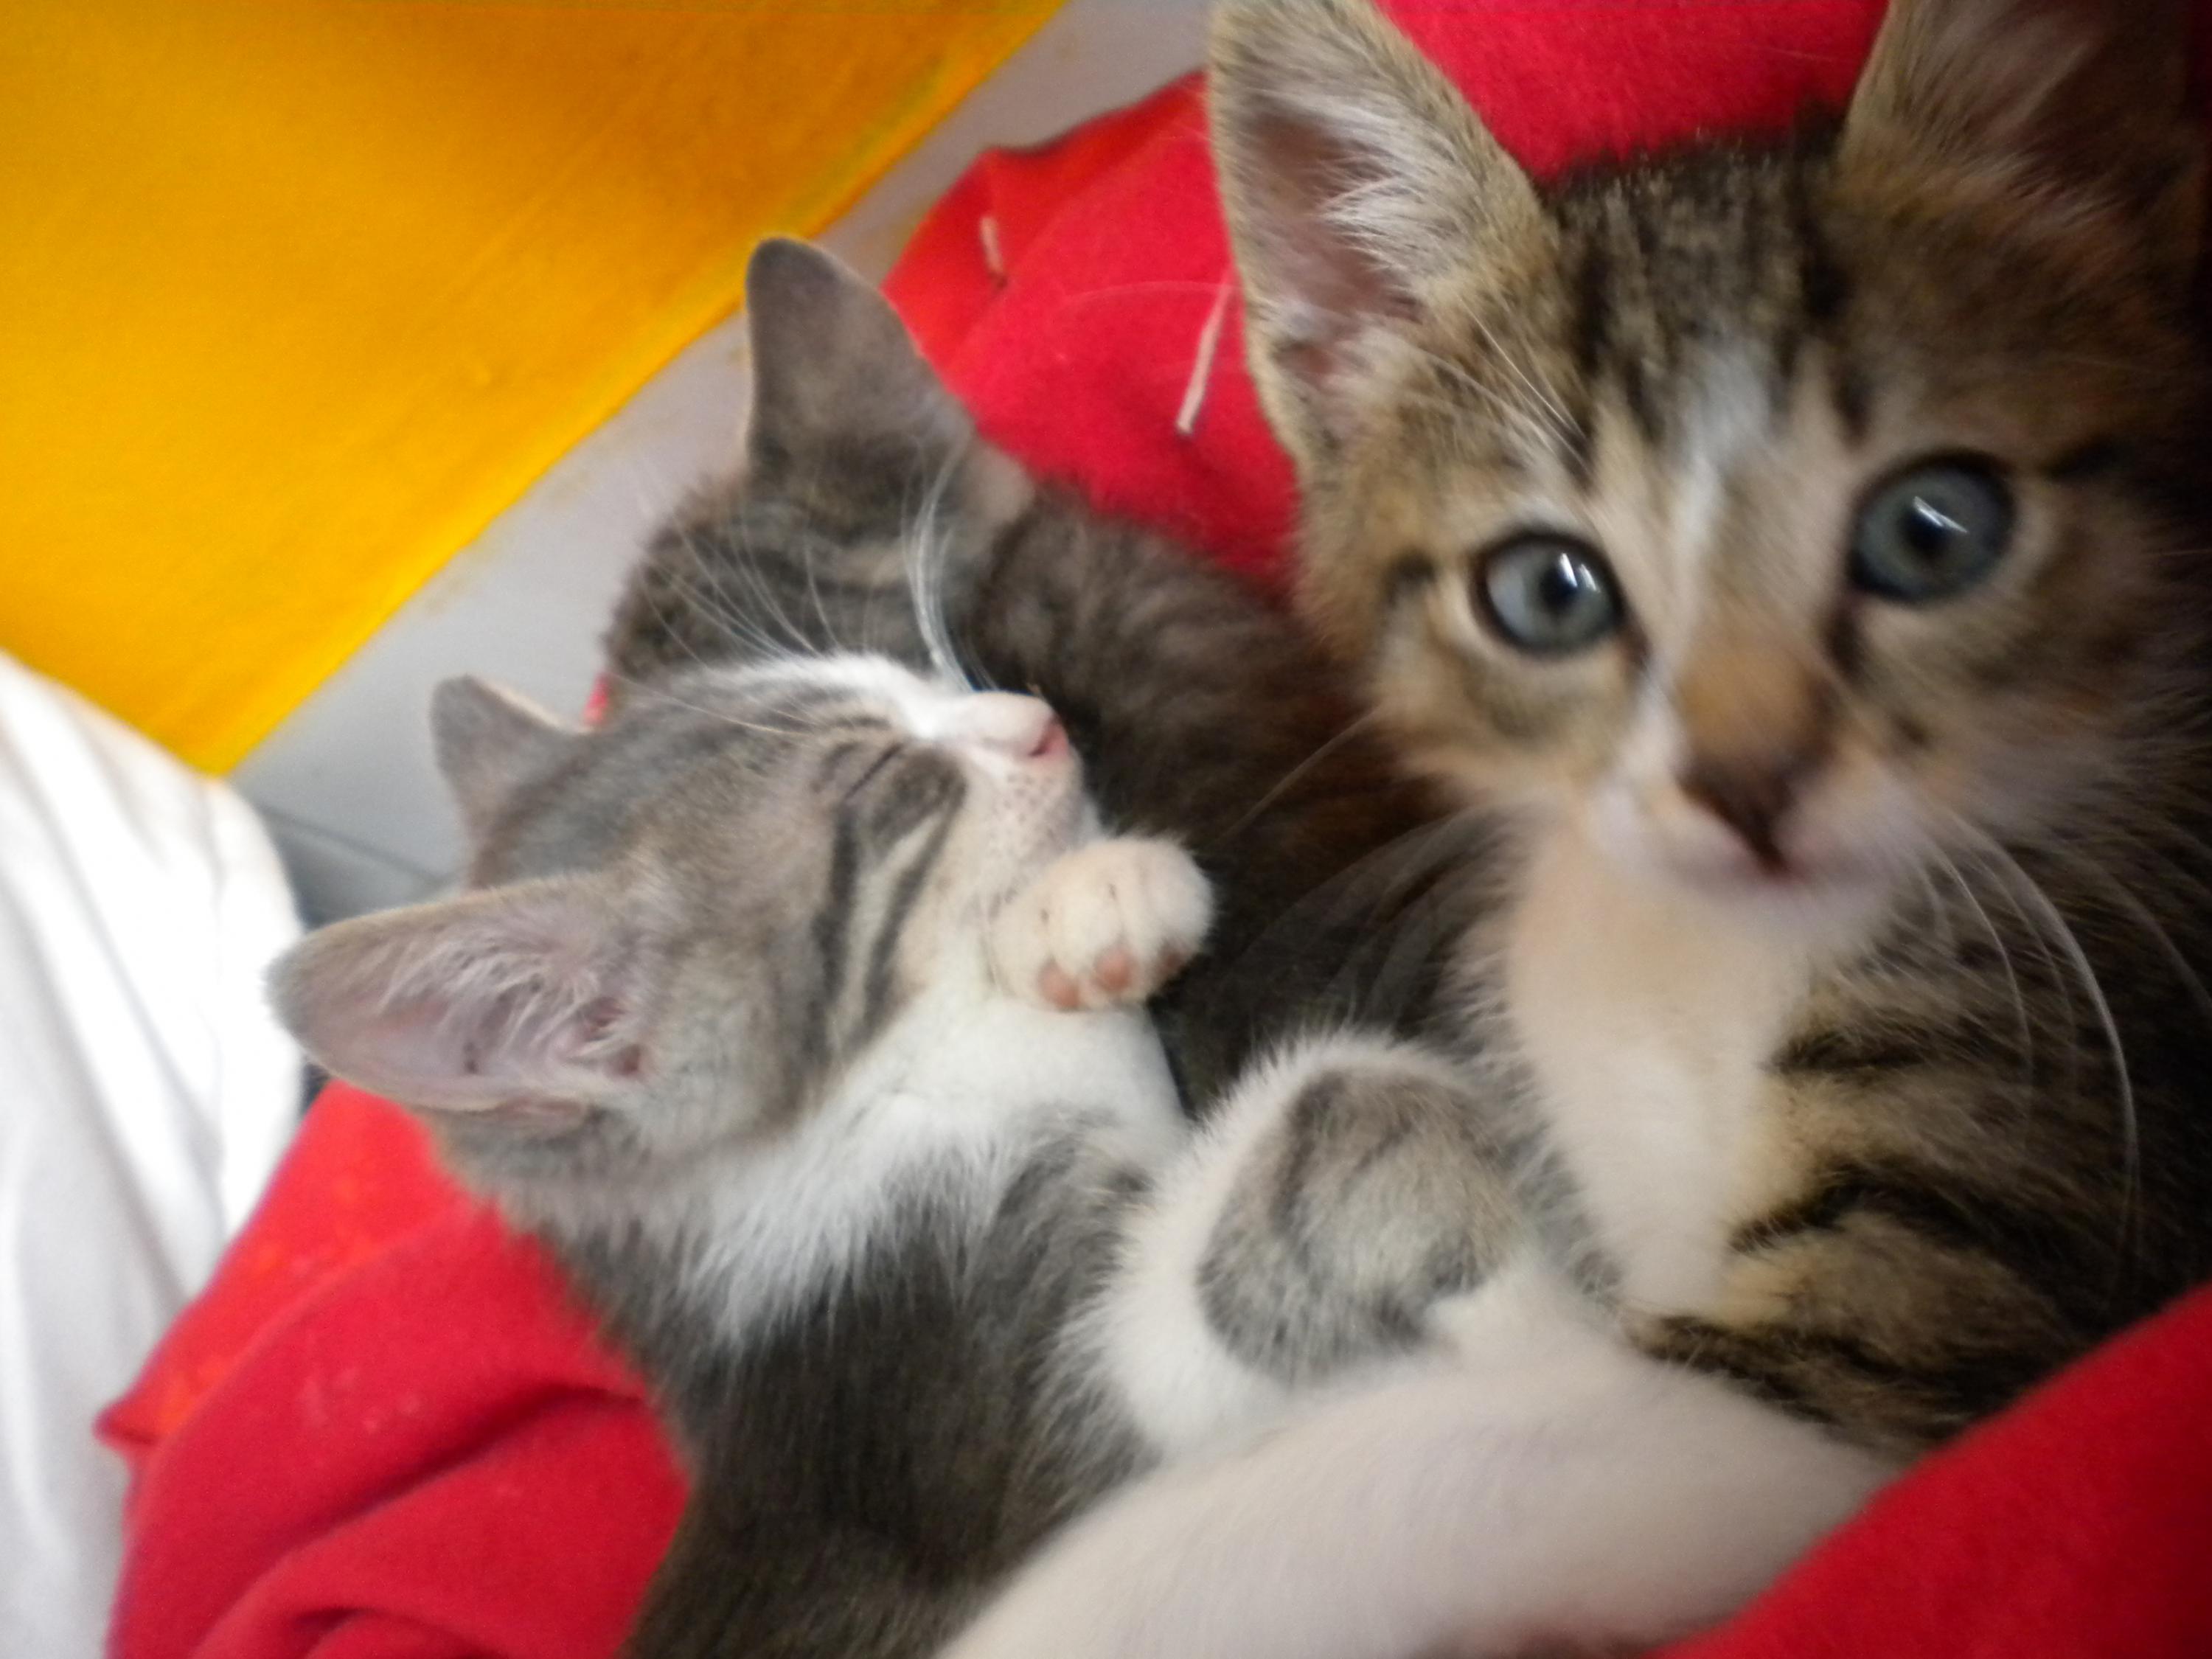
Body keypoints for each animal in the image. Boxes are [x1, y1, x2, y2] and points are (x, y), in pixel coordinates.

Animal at [905, 0, 2212, 1654]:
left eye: (1935, 531)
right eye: (1548, 592)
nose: (1746, 785)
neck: (1694, 953)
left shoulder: (1890, 1333)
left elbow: (1397, 1475)